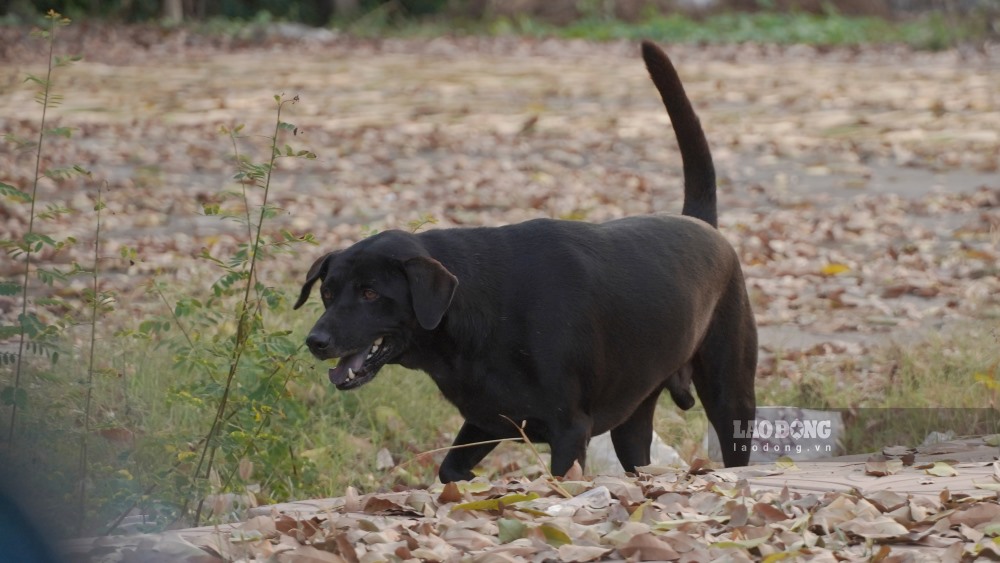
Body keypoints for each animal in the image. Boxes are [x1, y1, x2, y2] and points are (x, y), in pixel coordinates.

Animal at [296, 40, 756, 480]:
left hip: (731, 395)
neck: (479, 313)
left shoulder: (569, 430)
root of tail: (703, 224)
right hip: (634, 419)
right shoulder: (488, 419)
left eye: (371, 293)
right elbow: (450, 469)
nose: (315, 341)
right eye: (327, 293)